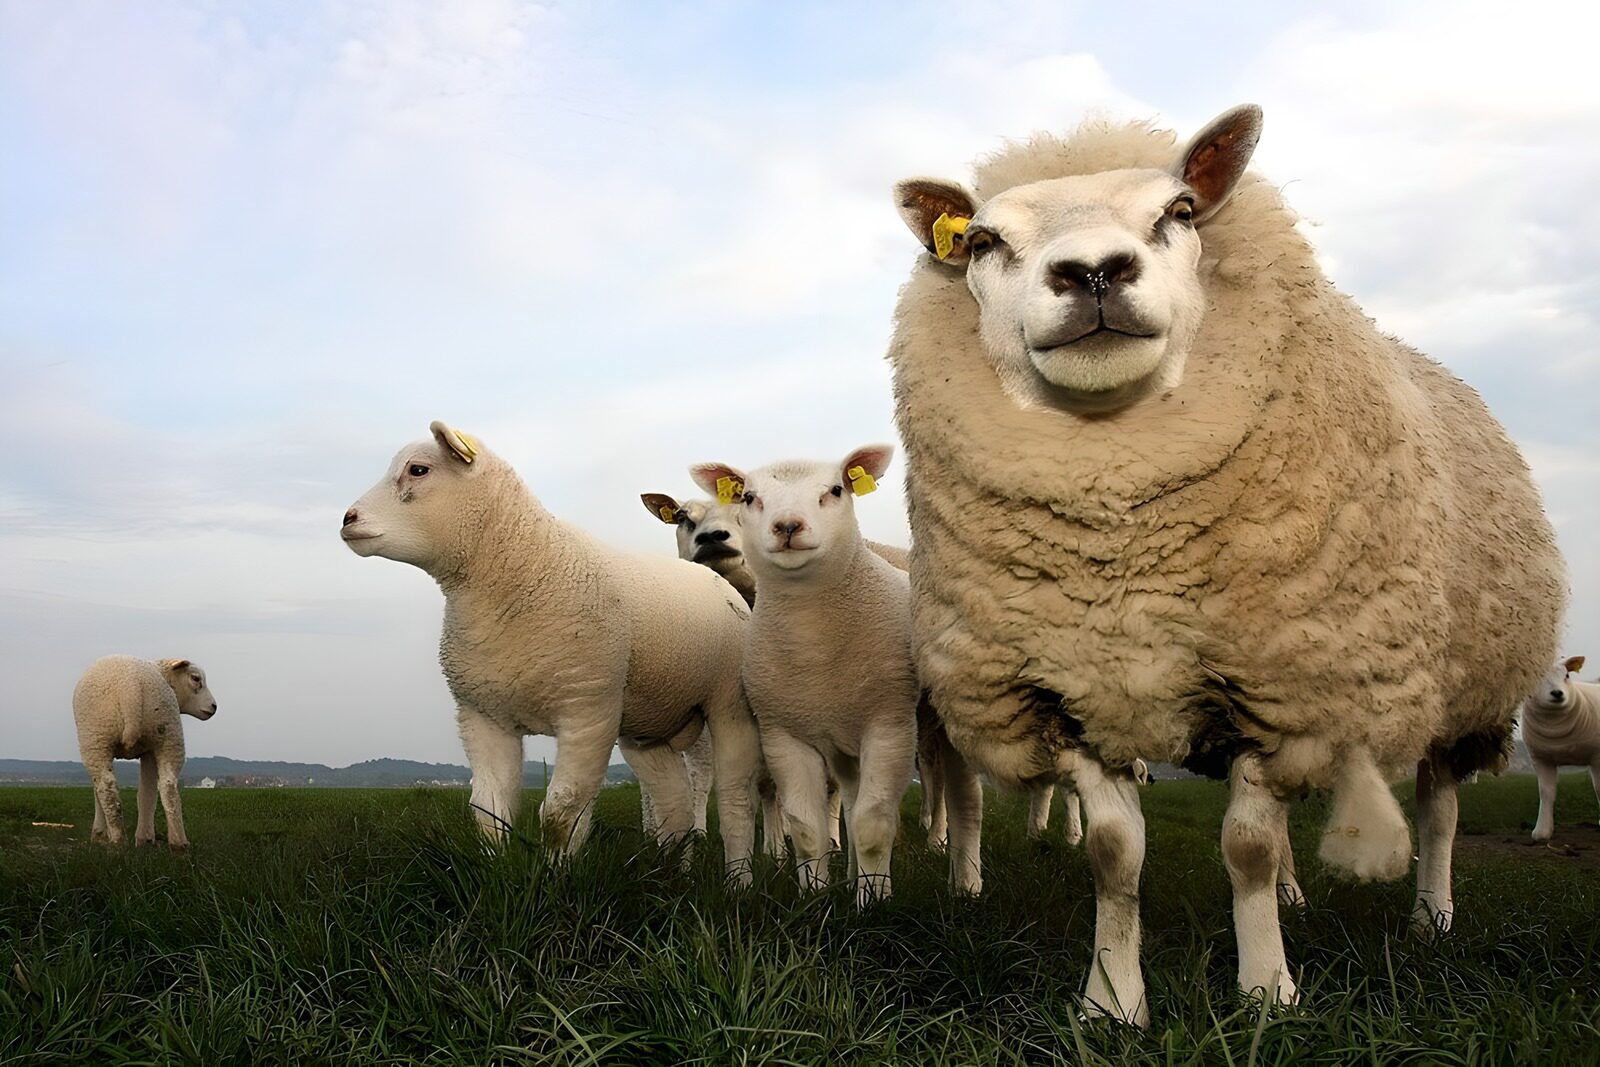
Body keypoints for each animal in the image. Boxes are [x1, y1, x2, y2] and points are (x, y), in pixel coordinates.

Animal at [72, 655, 217, 851]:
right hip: (166, 732)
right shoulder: (148, 751)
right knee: (167, 785)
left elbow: (99, 791)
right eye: (195, 678)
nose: (214, 706)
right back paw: (175, 843)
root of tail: (130, 685)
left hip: (96, 739)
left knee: (106, 787)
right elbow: (145, 792)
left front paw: (99, 836)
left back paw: (119, 842)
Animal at [342, 422, 763, 880]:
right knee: (675, 805)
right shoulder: (481, 715)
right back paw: (670, 874)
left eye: (418, 469)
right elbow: (488, 811)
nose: (348, 519)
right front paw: (496, 874)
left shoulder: (588, 710)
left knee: (736, 800)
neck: (526, 571)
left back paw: (738, 881)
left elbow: (562, 811)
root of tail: (712, 577)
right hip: (648, 726)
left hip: (729, 705)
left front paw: (555, 879)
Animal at [690, 446, 984, 904]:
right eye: (749, 498)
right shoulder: (784, 734)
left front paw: (874, 901)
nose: (788, 526)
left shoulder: (889, 725)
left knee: (965, 799)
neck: (814, 644)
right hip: (845, 742)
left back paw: (966, 885)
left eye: (835, 490)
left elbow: (872, 822)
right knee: (850, 797)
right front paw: (816, 896)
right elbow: (808, 828)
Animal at [887, 104, 1565, 1023]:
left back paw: (1432, 915)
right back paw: (1295, 898)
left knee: (1437, 809)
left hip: (1455, 688)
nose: (1093, 270)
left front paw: (1267, 991)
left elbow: (1245, 846)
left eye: (1179, 210)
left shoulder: (1283, 684)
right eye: (986, 240)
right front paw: (1111, 1001)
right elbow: (1115, 852)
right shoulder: (1071, 691)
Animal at [1522, 656, 1600, 842]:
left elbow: (1599, 788)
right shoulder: (1541, 759)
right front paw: (1542, 831)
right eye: (1538, 677)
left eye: (1567, 675)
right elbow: (1546, 792)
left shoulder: (1597, 756)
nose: (1557, 693)